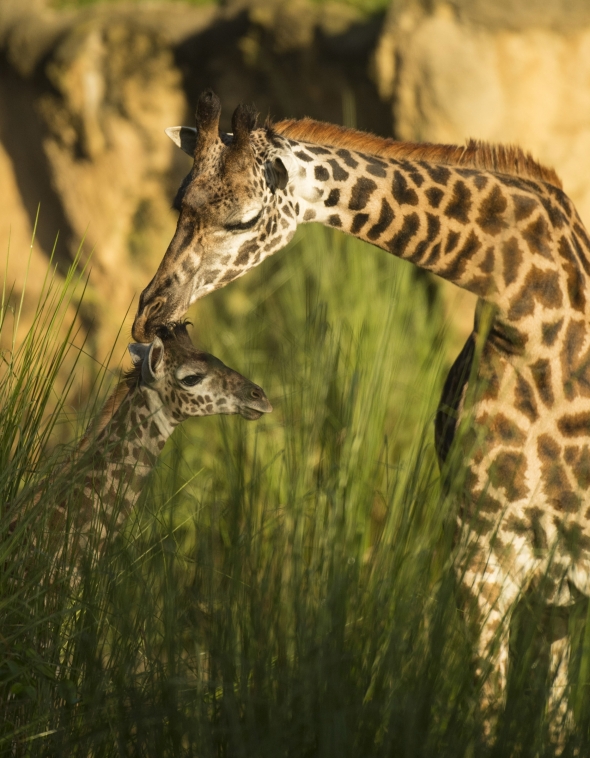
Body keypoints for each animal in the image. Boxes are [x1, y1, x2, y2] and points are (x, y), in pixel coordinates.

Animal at [132, 90, 590, 744]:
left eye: (243, 219)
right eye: (180, 206)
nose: (150, 312)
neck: (528, 313)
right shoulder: (484, 556)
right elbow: (487, 718)